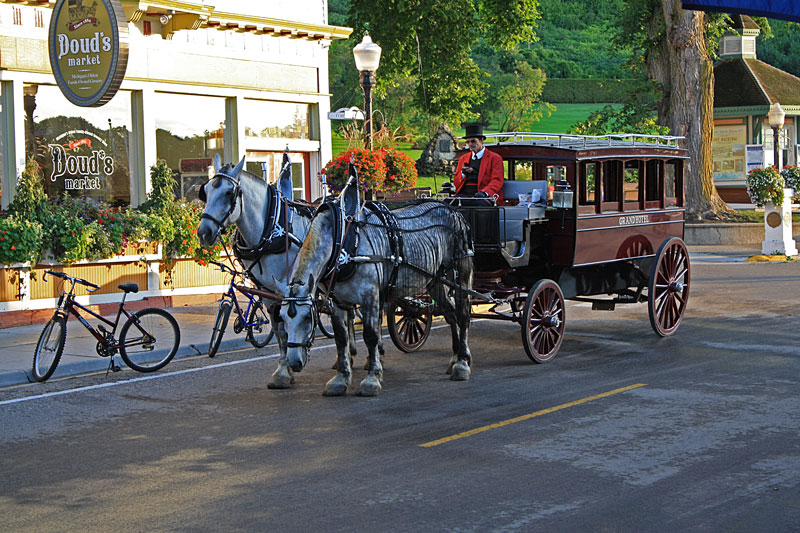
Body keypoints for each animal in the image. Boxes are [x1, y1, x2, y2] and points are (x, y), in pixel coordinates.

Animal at [197, 153, 356, 386]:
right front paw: (282, 370)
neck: (269, 230)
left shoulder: (290, 285)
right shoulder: (267, 290)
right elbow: (278, 328)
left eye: (229, 193)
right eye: (206, 192)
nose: (204, 232)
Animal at [278, 179, 476, 394]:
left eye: (308, 317)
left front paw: (372, 378)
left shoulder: (370, 296)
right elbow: (341, 338)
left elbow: (371, 336)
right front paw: (341, 378)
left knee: (463, 315)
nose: (295, 363)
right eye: (282, 318)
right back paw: (455, 358)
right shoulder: (337, 302)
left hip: (460, 275)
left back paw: (462, 364)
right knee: (450, 313)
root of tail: (453, 211)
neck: (343, 240)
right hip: (435, 280)